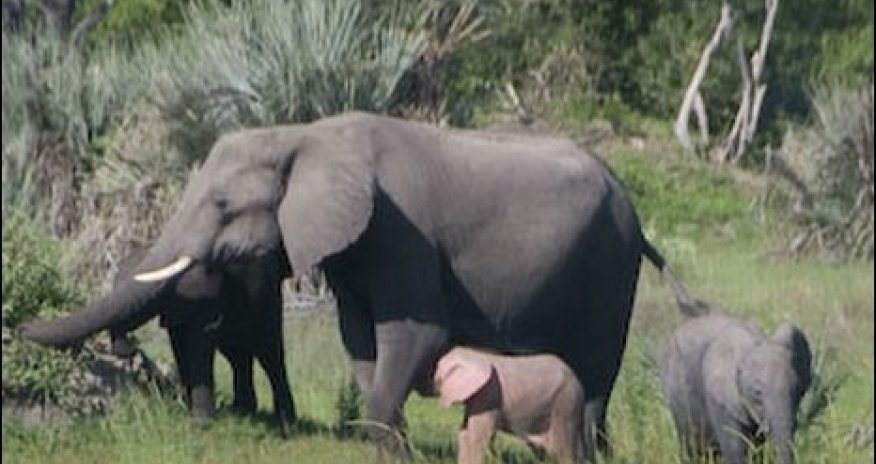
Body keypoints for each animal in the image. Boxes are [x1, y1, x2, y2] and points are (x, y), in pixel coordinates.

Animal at [106, 244, 296, 426]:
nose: (131, 346)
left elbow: (199, 345)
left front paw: (201, 421)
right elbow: (180, 347)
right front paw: (188, 409)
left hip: (266, 299)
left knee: (269, 354)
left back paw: (285, 422)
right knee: (237, 357)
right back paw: (242, 412)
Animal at [433, 346, 588, 464]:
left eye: (438, 372)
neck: (474, 355)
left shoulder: (489, 394)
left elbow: (477, 436)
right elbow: (464, 432)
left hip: (565, 403)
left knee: (562, 449)